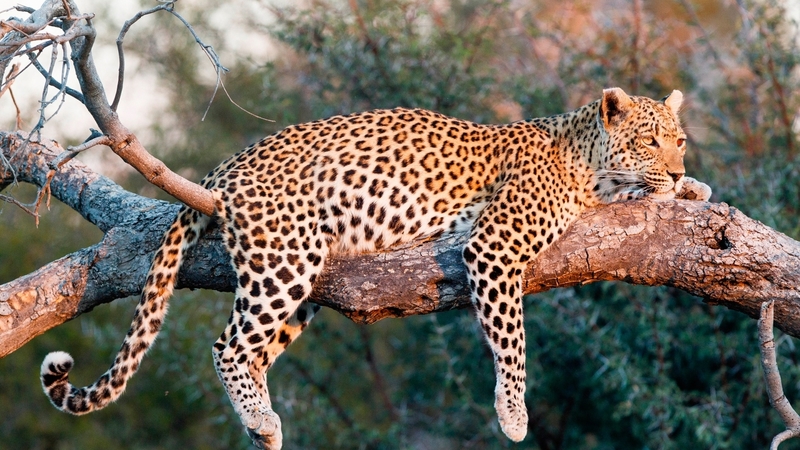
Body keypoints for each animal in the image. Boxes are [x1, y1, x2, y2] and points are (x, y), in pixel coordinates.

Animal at [40, 87, 711, 448]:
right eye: (649, 140)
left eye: (679, 140)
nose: (679, 166)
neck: (588, 161)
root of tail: (225, 166)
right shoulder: (493, 247)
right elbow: (512, 340)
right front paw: (514, 413)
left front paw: (691, 189)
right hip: (285, 258)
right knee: (227, 346)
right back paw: (261, 418)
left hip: (302, 282)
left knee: (248, 348)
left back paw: (263, 424)